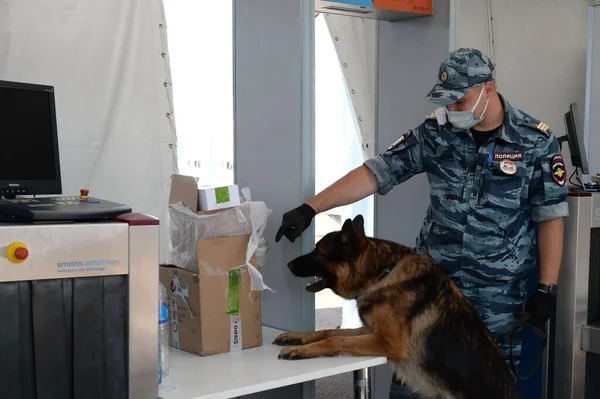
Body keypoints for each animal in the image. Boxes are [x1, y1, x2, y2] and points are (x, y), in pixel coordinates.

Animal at [274, 217, 516, 398]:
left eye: (317, 251)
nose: (288, 264)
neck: (382, 274)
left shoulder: (386, 341)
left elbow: (336, 339)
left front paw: (300, 350)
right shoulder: (371, 331)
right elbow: (329, 331)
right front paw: (297, 337)